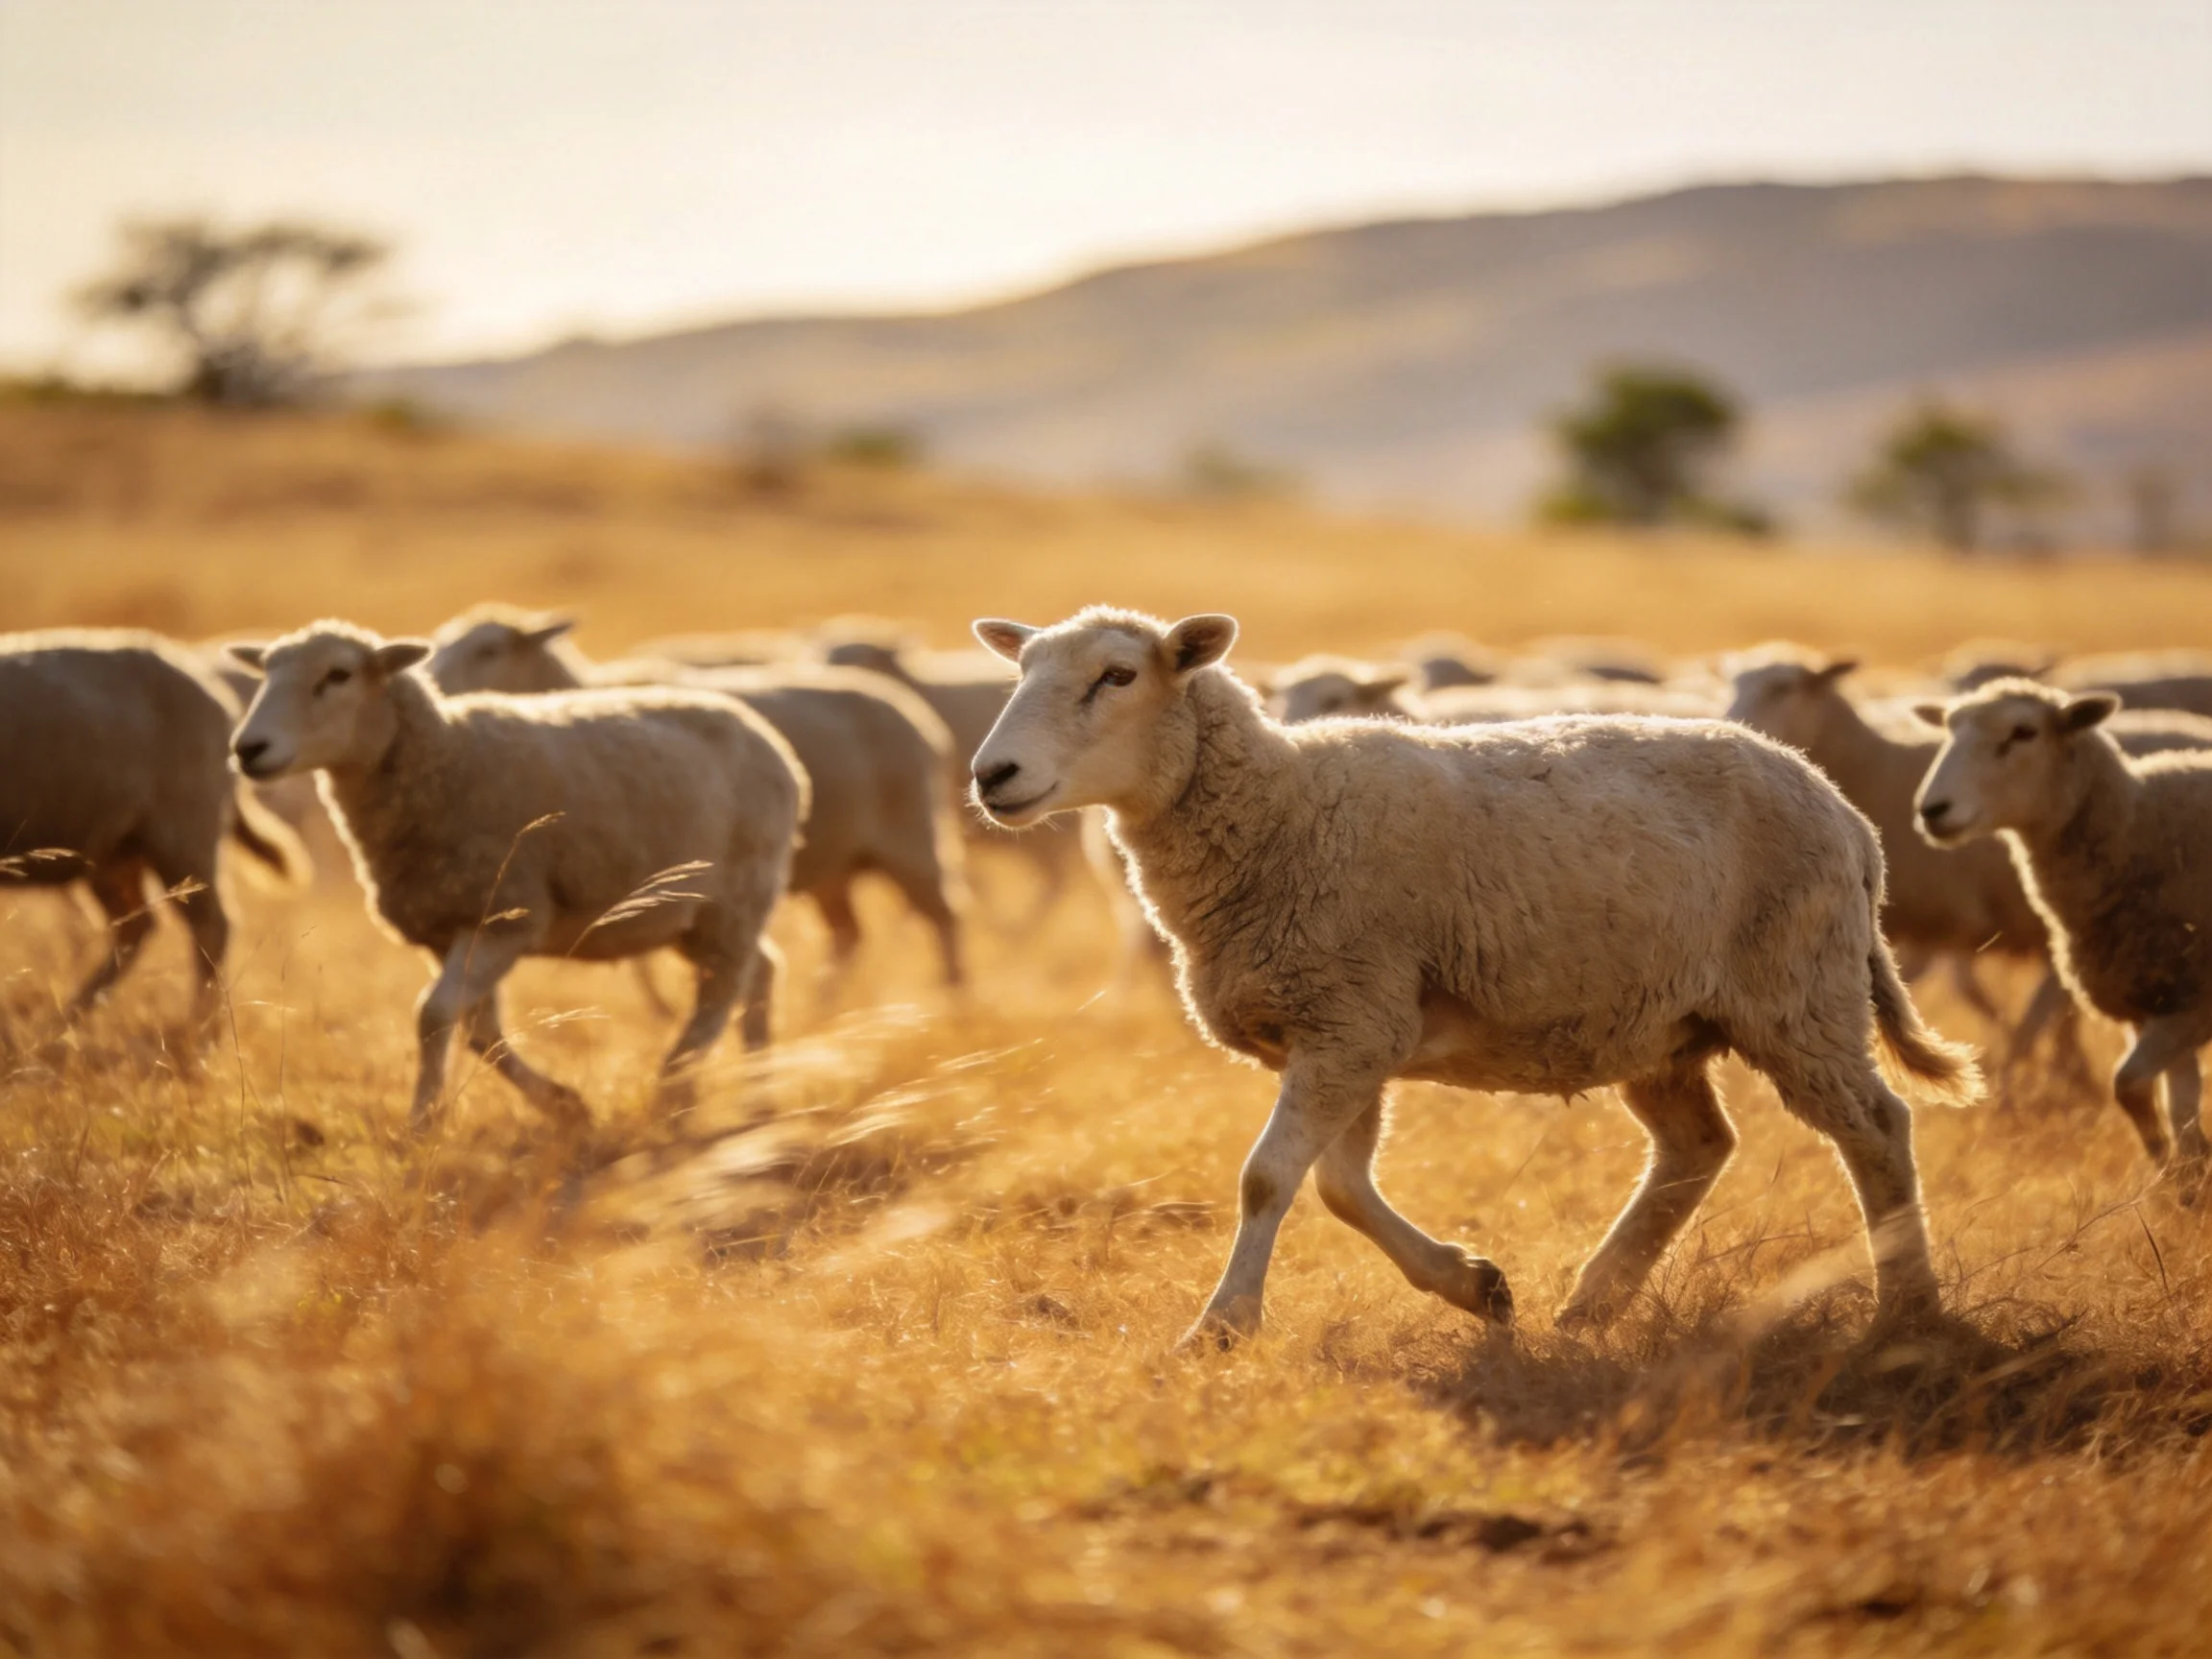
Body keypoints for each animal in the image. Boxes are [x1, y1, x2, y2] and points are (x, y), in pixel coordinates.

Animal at [1, 628, 306, 1018]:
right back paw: (71, 1015)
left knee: (211, 926)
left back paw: (198, 1025)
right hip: (115, 846)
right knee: (136, 924)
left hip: (184, 827)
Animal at [229, 620, 805, 1129]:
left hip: (736, 897)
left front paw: (421, 1124)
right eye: (266, 671)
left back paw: (675, 1087)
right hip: (691, 915)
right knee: (762, 972)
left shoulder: (508, 918)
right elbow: (477, 1028)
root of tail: (767, 738)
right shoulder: (444, 928)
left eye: (339, 674)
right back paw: (757, 1098)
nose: (247, 749)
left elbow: (435, 1016)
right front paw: (565, 1105)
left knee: (721, 990)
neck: (446, 756)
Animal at [426, 607, 965, 989]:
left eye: (489, 649)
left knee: (946, 919)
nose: (434, 684)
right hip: (836, 864)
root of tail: (915, 715)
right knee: (849, 935)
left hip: (910, 838)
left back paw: (953, 999)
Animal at [968, 607, 1977, 1345]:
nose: (991, 775)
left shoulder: (1351, 1021)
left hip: (1798, 992)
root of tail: (1848, 819)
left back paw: (1908, 1309)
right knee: (1698, 1146)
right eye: (1021, 674)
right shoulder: (1348, 1030)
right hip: (1660, 1023)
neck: (1280, 808)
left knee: (1877, 1128)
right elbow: (1338, 1187)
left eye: (1118, 676)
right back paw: (1592, 1303)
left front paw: (1221, 1327)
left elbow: (1269, 1178)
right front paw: (1475, 1286)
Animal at [1916, 679, 2212, 1177]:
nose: (1931, 810)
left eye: (2023, 732)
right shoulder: (2152, 1005)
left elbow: (2129, 1083)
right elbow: (2175, 1112)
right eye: (1948, 728)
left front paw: (2177, 1174)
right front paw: (2186, 1177)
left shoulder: (2193, 1004)